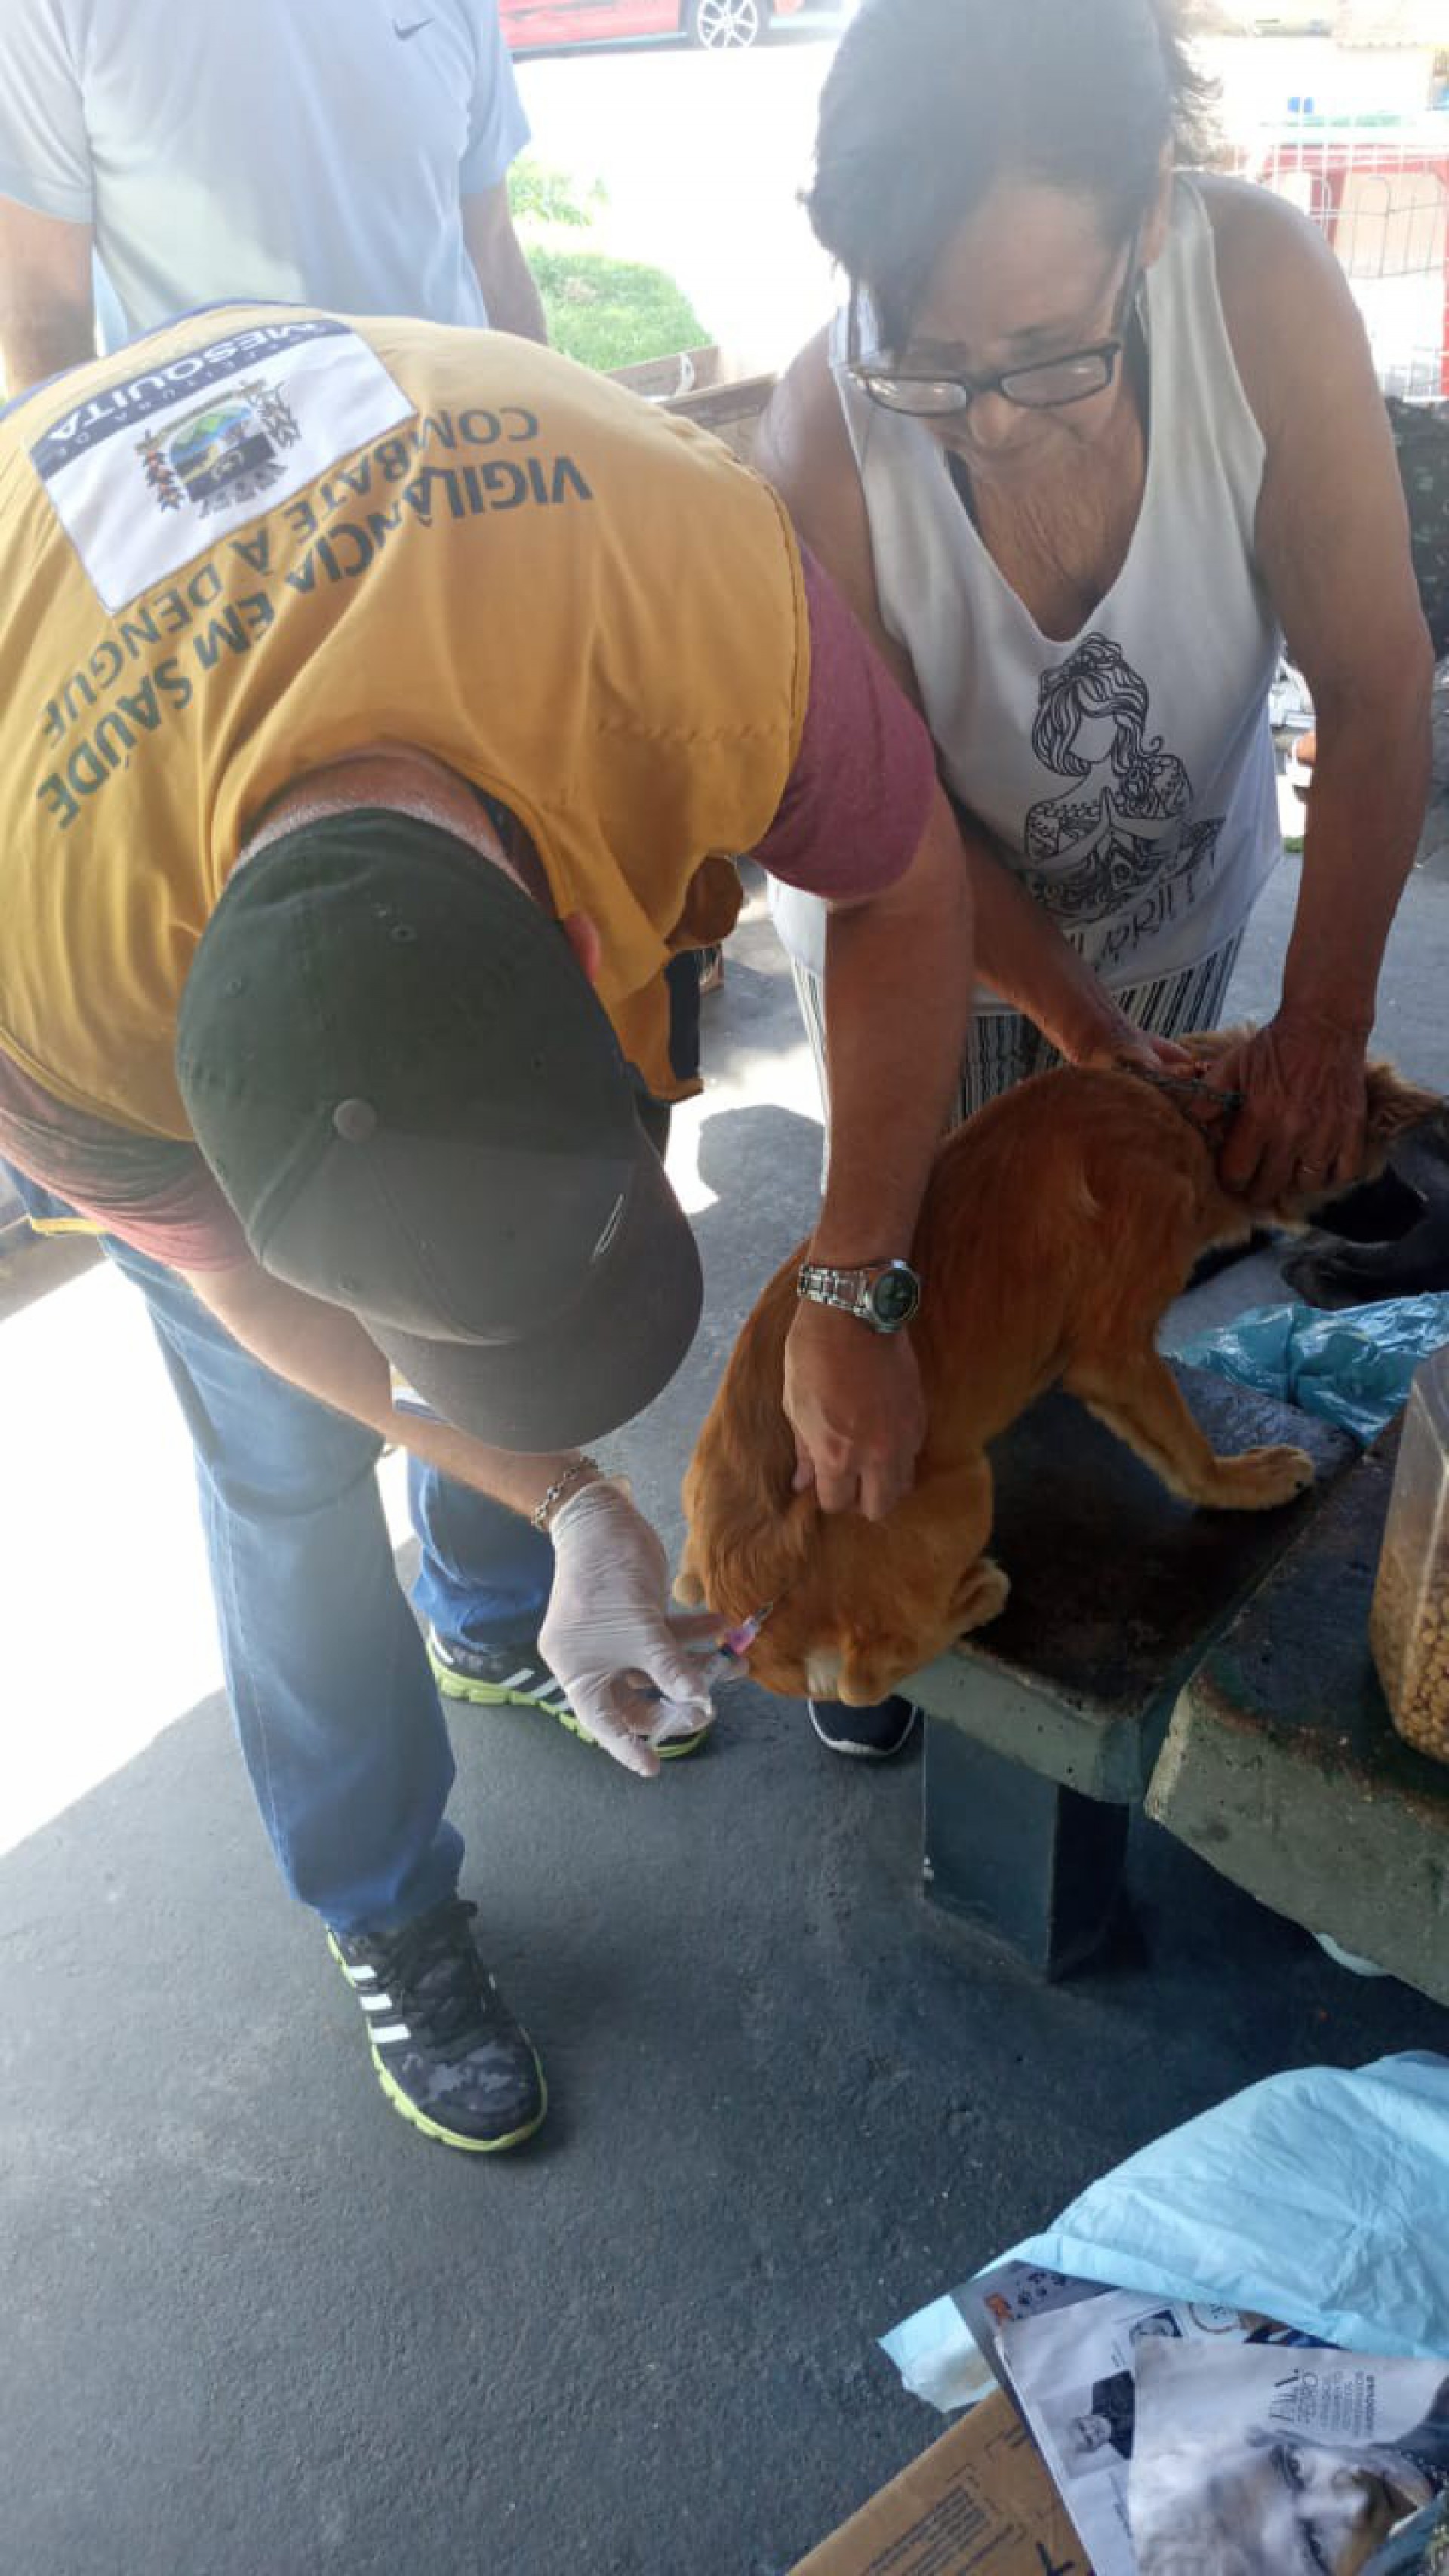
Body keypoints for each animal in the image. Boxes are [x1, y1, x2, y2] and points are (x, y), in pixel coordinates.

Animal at [675, 1035, 1433, 1700]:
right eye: (1380, 1168)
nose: (1428, 1208)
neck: (1185, 1116)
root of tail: (754, 1622)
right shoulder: (1115, 1354)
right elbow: (1185, 1449)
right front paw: (1242, 1482)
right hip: (961, 1488)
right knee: (862, 1678)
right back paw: (975, 1597)